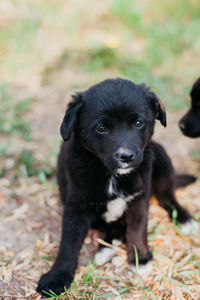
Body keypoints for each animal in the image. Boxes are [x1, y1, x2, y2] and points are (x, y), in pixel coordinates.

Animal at [37, 77, 197, 296]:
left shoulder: (139, 198)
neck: (112, 174)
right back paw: (106, 248)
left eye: (138, 123)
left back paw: (185, 219)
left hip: (161, 157)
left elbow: (137, 229)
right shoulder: (76, 206)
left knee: (167, 196)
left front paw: (140, 259)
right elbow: (68, 243)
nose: (126, 156)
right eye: (101, 128)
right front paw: (57, 276)